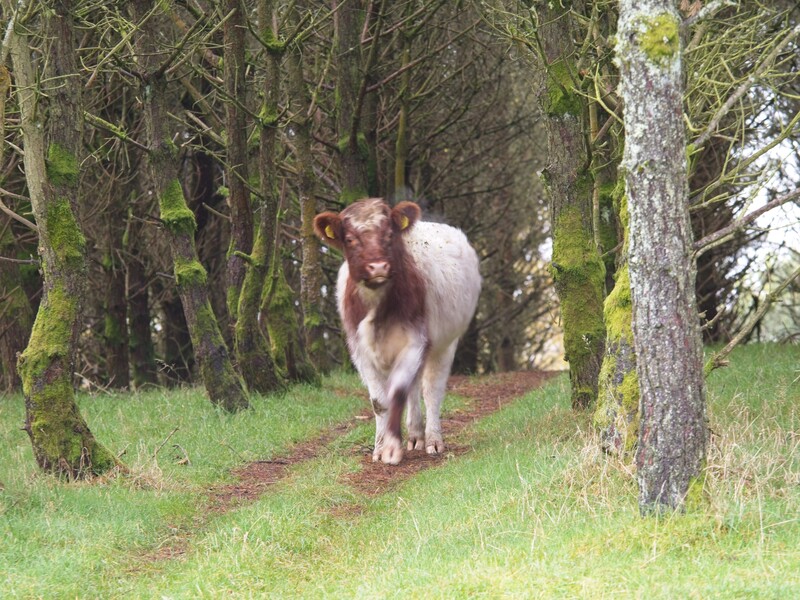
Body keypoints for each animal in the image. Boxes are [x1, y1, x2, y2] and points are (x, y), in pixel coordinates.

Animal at [313, 198, 481, 465]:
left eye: (389, 234)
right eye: (349, 238)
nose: (378, 266)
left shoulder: (414, 341)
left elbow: (399, 392)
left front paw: (392, 448)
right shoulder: (360, 352)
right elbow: (379, 401)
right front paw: (381, 447)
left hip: (444, 343)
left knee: (431, 389)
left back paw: (433, 439)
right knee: (415, 386)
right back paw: (415, 435)